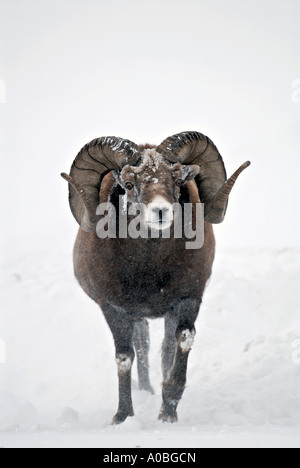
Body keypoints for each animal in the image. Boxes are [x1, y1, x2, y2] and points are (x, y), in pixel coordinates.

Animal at [61, 131, 251, 424]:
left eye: (177, 180)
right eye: (129, 183)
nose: (160, 211)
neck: (149, 270)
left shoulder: (186, 302)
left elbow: (180, 343)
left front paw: (168, 412)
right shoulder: (114, 310)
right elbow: (125, 357)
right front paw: (122, 417)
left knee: (162, 349)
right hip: (137, 318)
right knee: (142, 346)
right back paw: (146, 391)